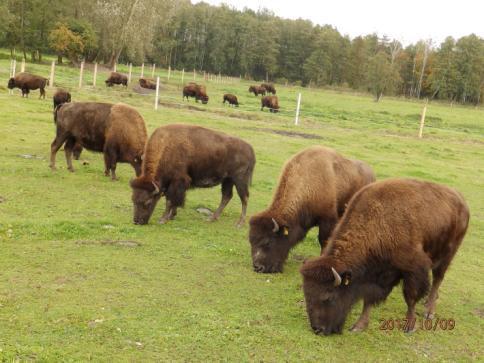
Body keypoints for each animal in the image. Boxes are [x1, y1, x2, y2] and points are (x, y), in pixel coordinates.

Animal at [129, 125, 258, 228]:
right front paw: (171, 216)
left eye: (148, 202)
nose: (137, 221)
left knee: (244, 198)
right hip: (228, 180)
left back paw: (239, 223)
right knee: (227, 196)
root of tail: (250, 149)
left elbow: (170, 200)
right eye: (133, 199)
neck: (166, 146)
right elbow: (175, 199)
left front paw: (163, 219)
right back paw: (212, 218)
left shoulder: (177, 181)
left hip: (239, 180)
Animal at [248, 146, 376, 272]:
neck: (307, 182)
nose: (258, 267)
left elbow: (323, 240)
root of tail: (372, 175)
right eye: (251, 240)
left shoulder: (327, 220)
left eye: (267, 242)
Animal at [302, 178, 468, 336]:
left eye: (328, 297)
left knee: (437, 280)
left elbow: (411, 297)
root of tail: (462, 202)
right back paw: (427, 303)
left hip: (447, 256)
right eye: (306, 294)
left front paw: (409, 326)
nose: (318, 329)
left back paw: (429, 311)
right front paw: (358, 326)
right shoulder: (378, 275)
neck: (377, 223)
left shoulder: (414, 269)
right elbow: (369, 299)